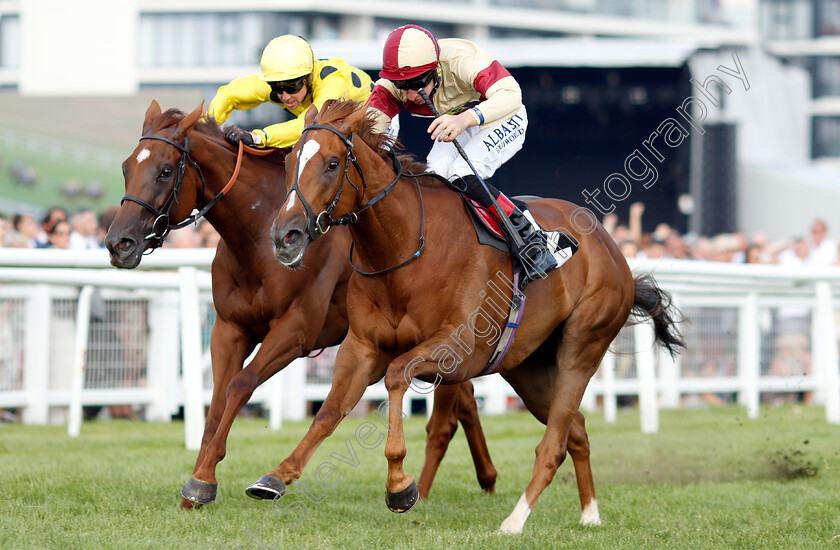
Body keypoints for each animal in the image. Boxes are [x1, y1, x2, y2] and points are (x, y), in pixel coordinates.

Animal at [268, 100, 684, 536]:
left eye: (332, 164)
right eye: (290, 161)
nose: (285, 236)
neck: (405, 248)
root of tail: (611, 246)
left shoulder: (458, 351)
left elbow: (397, 375)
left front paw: (400, 486)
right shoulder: (361, 346)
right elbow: (329, 410)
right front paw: (277, 476)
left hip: (583, 344)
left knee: (553, 443)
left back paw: (515, 520)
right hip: (528, 367)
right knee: (577, 430)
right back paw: (589, 513)